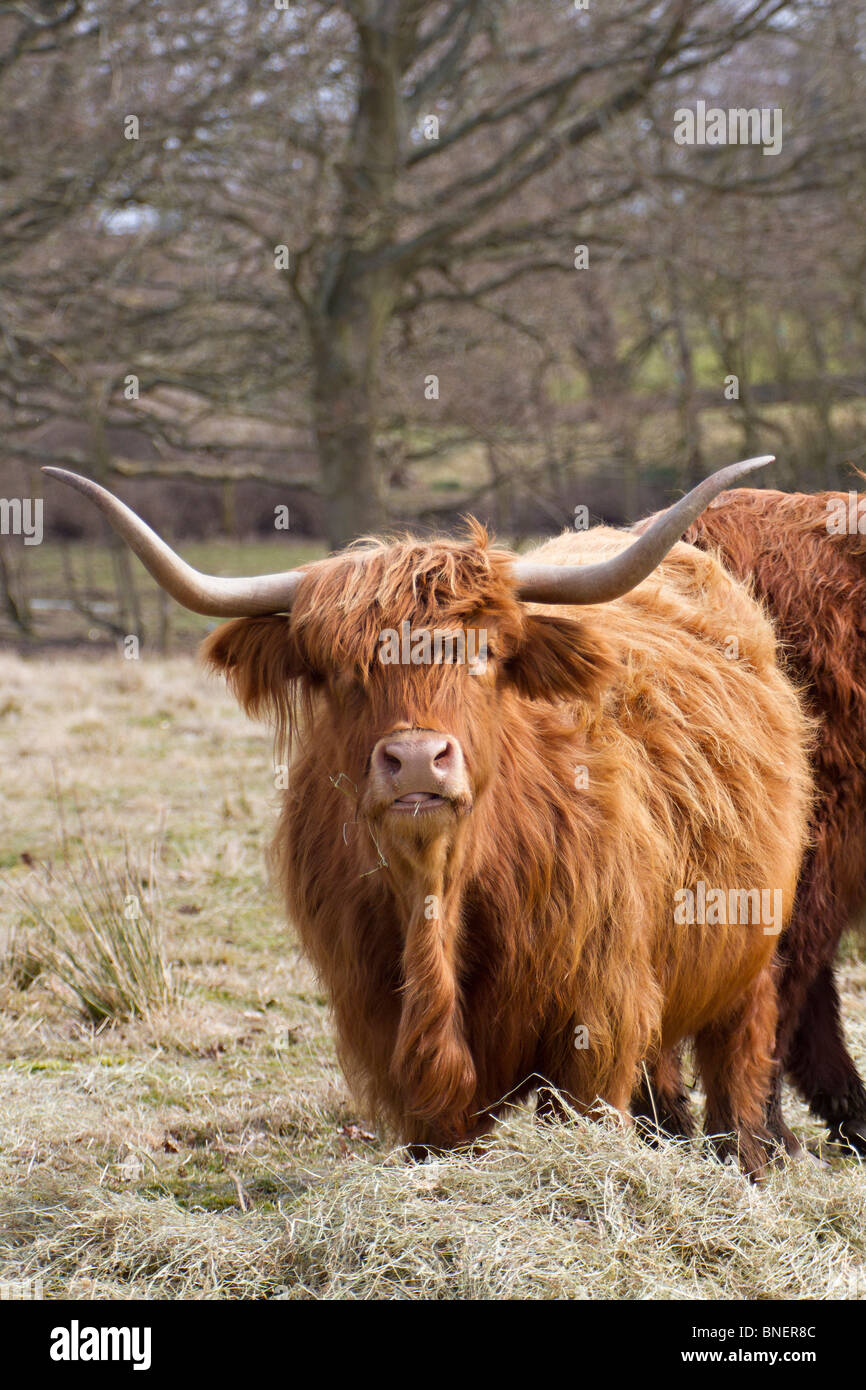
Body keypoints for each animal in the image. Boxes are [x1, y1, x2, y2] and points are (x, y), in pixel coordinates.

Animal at [47, 458, 817, 1173]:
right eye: (339, 672)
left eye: (483, 655)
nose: (417, 759)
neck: (437, 897)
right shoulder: (390, 1038)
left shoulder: (596, 1025)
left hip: (750, 941)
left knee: (739, 1059)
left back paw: (749, 1164)